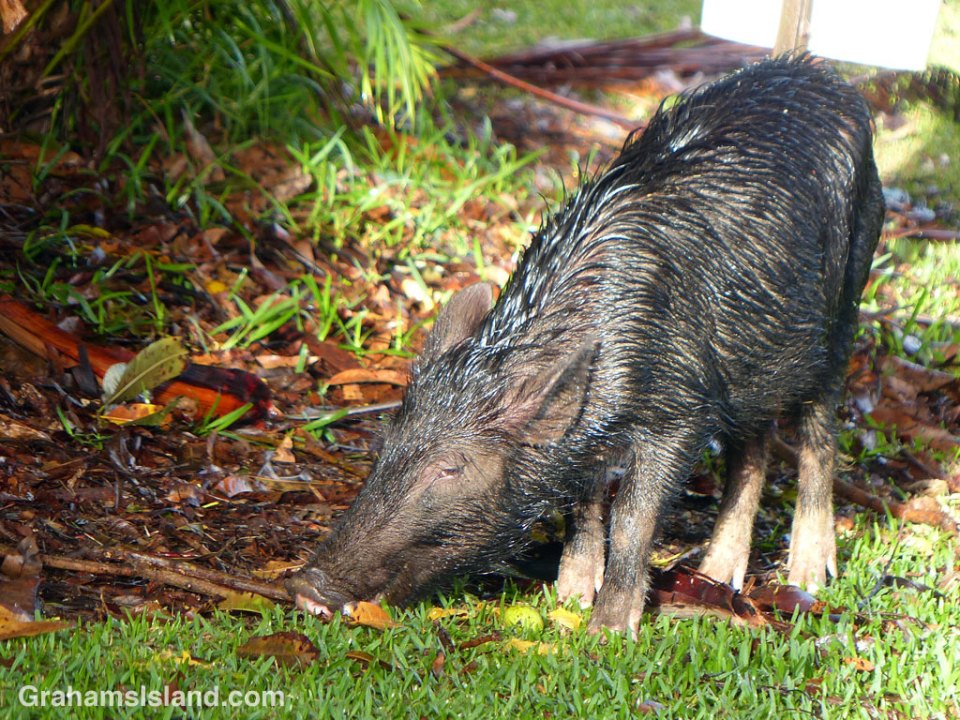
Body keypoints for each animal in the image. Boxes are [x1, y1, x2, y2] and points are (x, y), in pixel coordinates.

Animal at [287, 54, 884, 636]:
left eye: (451, 468)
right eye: (384, 444)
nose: (304, 586)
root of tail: (833, 80)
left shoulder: (680, 411)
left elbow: (634, 516)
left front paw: (607, 632)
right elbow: (583, 498)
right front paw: (570, 598)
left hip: (847, 299)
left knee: (818, 427)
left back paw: (809, 575)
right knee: (753, 444)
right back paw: (718, 575)